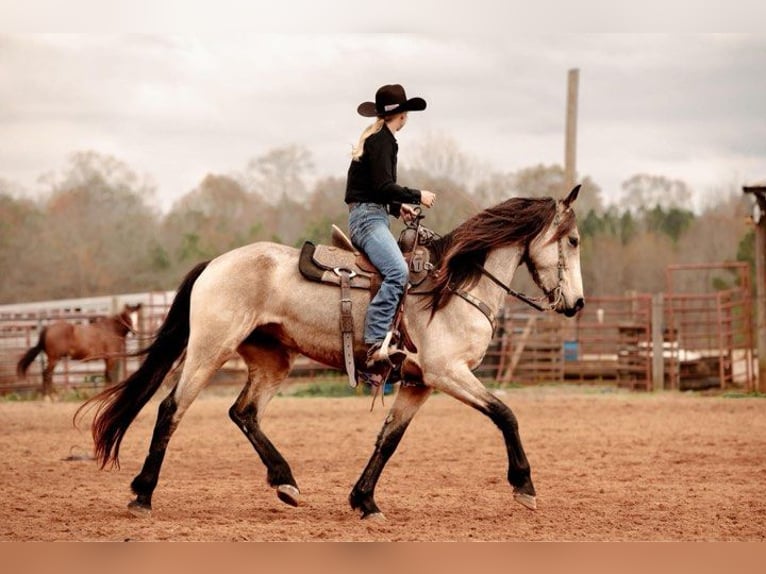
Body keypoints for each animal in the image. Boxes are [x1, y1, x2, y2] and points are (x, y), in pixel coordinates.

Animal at [78, 189, 584, 520]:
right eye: (574, 240)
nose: (577, 304)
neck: (454, 285)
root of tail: (215, 264)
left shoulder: (419, 383)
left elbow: (389, 439)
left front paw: (364, 500)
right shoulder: (447, 373)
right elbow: (505, 414)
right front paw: (524, 486)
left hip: (272, 360)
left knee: (243, 412)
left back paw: (285, 481)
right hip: (209, 349)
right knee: (171, 408)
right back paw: (142, 495)